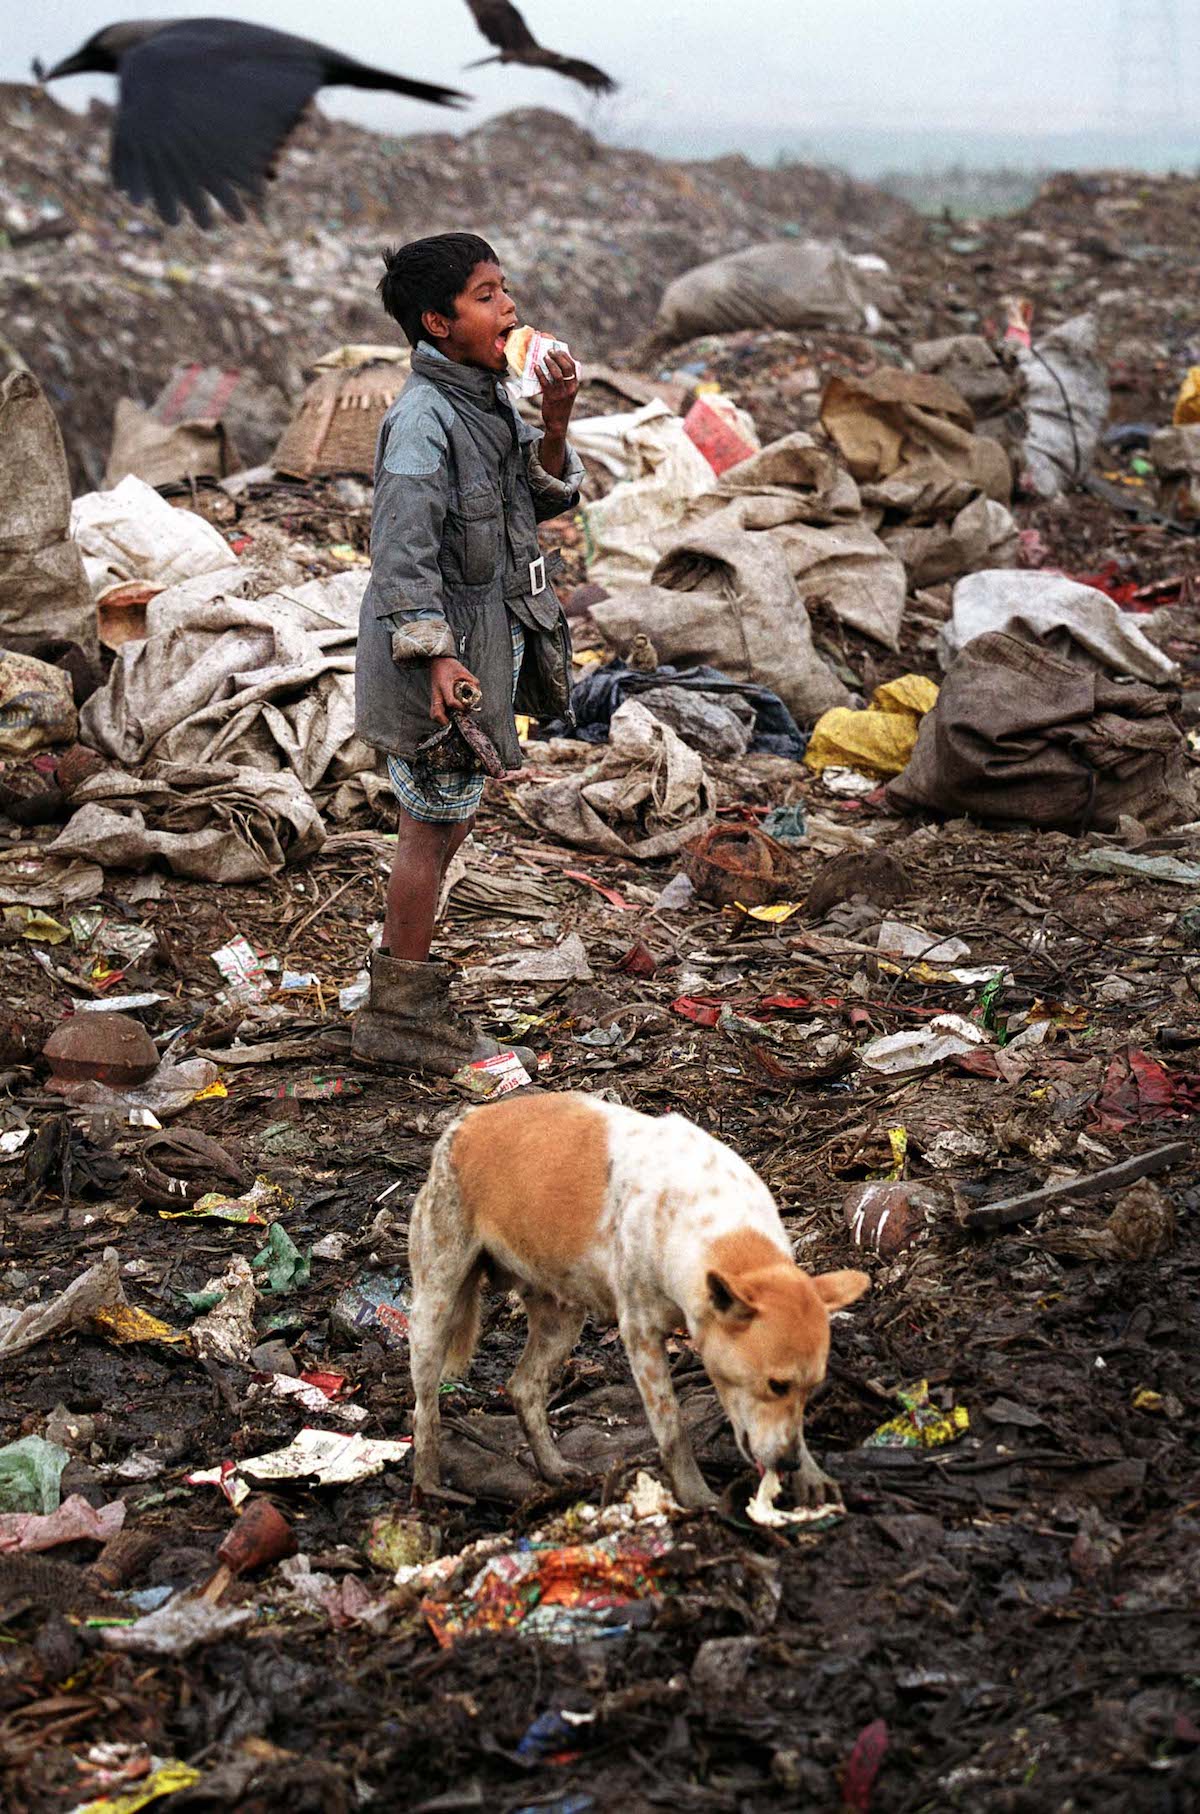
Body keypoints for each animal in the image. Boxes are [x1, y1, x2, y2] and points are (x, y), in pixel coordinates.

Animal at [409, 1088, 870, 1501]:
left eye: (813, 1388)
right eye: (776, 1385)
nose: (788, 1464)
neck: (717, 1227)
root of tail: (464, 1124)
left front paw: (810, 1473)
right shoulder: (641, 1334)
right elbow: (672, 1426)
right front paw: (696, 1497)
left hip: (561, 1320)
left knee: (523, 1388)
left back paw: (553, 1468)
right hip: (434, 1309)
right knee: (424, 1409)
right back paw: (428, 1484)